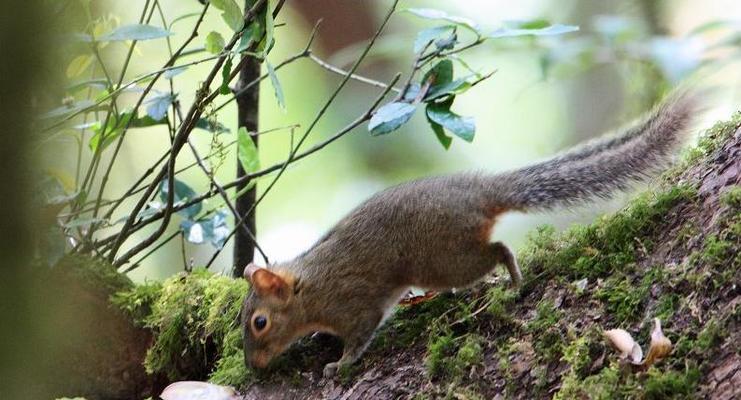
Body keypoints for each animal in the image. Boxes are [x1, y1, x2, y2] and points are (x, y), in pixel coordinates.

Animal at [238, 90, 700, 378]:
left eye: (259, 323)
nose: (253, 366)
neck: (310, 286)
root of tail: (483, 193)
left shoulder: (354, 304)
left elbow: (360, 335)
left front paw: (340, 364)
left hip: (446, 259)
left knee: (498, 250)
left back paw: (512, 281)